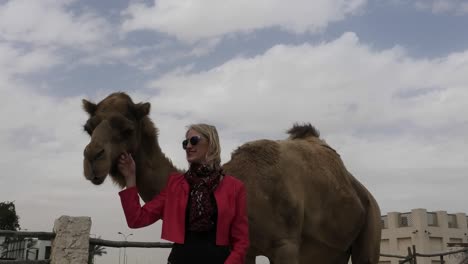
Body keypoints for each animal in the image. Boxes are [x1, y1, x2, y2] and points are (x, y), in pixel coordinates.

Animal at [80, 92, 380, 262]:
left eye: (127, 129)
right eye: (88, 128)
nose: (92, 158)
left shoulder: (286, 245)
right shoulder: (245, 248)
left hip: (371, 225)